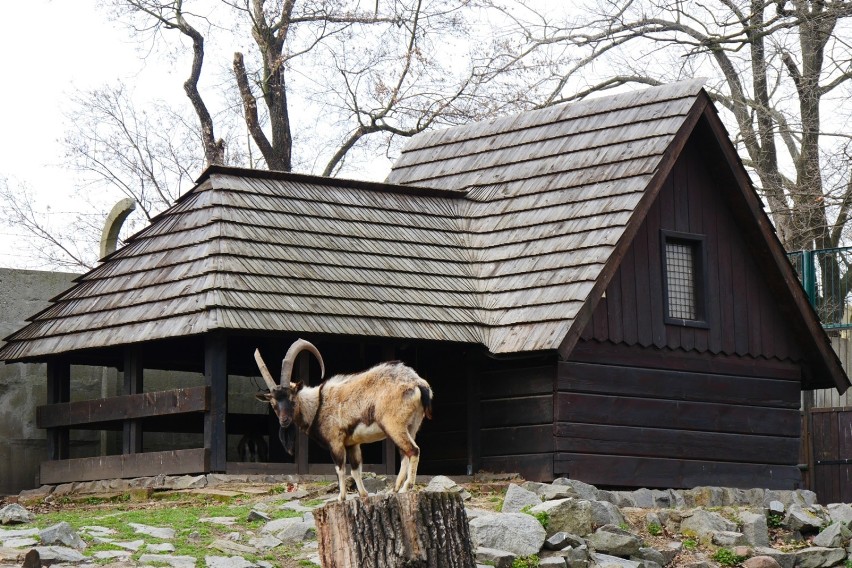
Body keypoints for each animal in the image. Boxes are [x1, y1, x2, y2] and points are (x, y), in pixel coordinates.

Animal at [250, 340, 430, 500]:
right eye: (273, 404)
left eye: (292, 398)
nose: (284, 421)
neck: (318, 404)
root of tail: (418, 384)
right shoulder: (352, 444)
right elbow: (356, 470)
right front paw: (363, 495)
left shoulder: (335, 442)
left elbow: (340, 469)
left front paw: (341, 498)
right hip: (411, 426)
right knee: (405, 454)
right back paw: (396, 488)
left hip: (394, 425)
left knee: (413, 450)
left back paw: (406, 487)